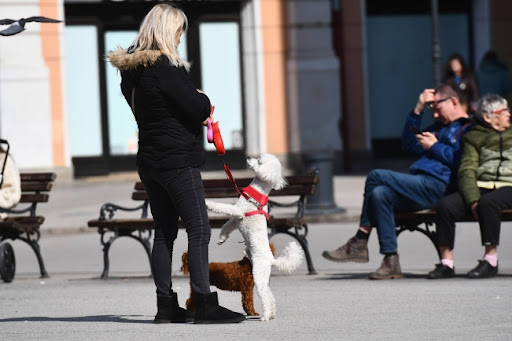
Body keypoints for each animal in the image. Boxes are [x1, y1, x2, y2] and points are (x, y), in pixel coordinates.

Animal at [206, 153, 304, 320]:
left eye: (259, 161)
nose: (248, 158)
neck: (256, 193)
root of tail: (272, 260)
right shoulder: (236, 219)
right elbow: (226, 226)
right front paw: (222, 238)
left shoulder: (238, 211)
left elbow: (222, 207)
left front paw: (207, 202)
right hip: (263, 275)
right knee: (270, 295)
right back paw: (271, 314)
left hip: (259, 272)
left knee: (265, 295)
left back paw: (265, 316)